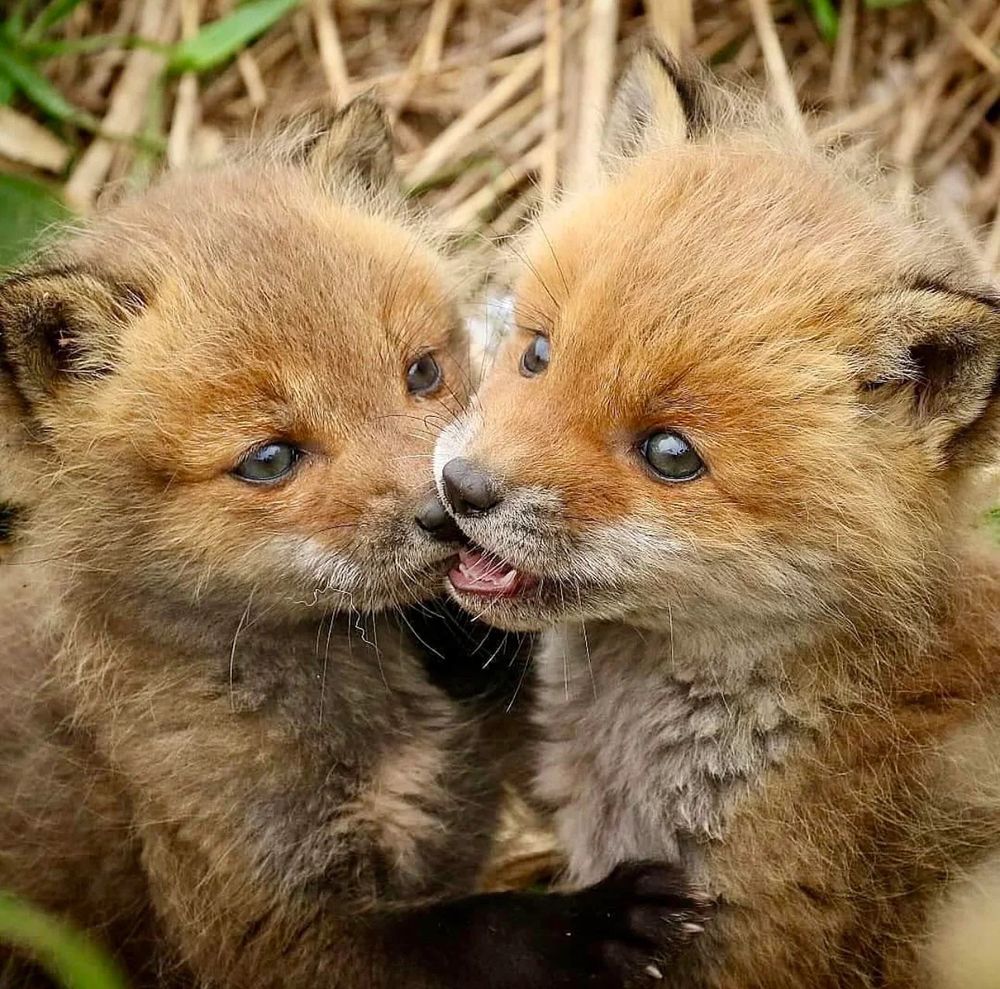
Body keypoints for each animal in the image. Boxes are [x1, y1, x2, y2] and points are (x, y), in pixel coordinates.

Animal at [0, 96, 708, 988]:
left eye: (421, 372)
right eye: (270, 459)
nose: (448, 507)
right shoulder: (264, 925)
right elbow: (473, 929)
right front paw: (592, 921)